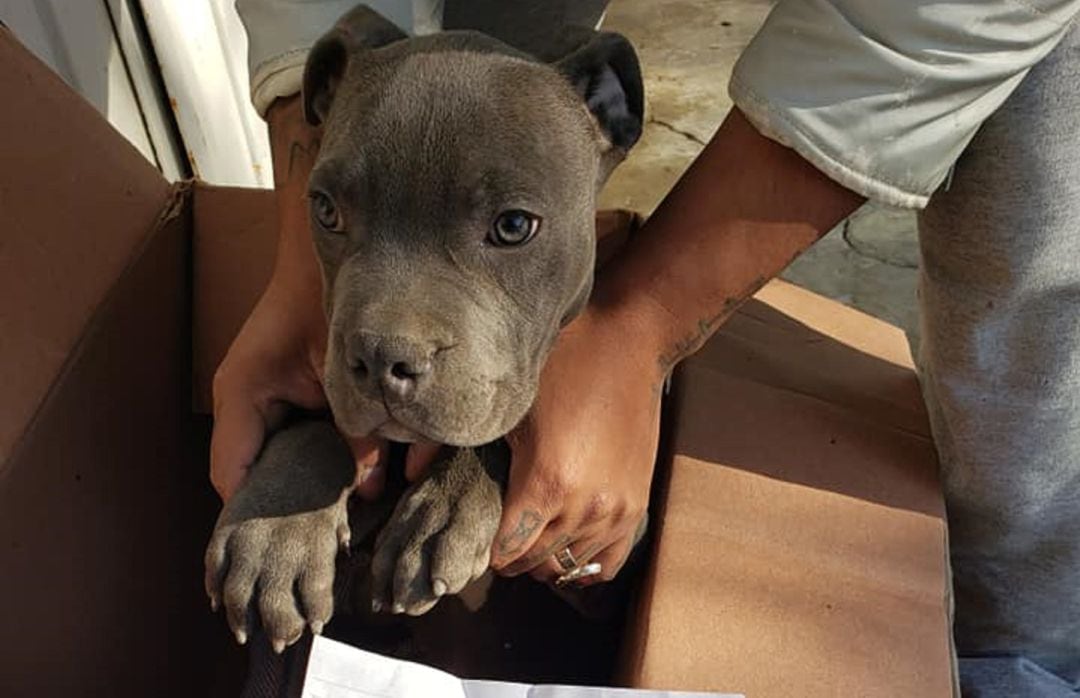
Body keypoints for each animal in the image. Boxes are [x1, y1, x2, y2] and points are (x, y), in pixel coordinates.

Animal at [203, 5, 639, 656]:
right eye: (325, 209)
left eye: (514, 225)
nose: (382, 358)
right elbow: (314, 420)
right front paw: (275, 529)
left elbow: (491, 420)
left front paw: (446, 507)